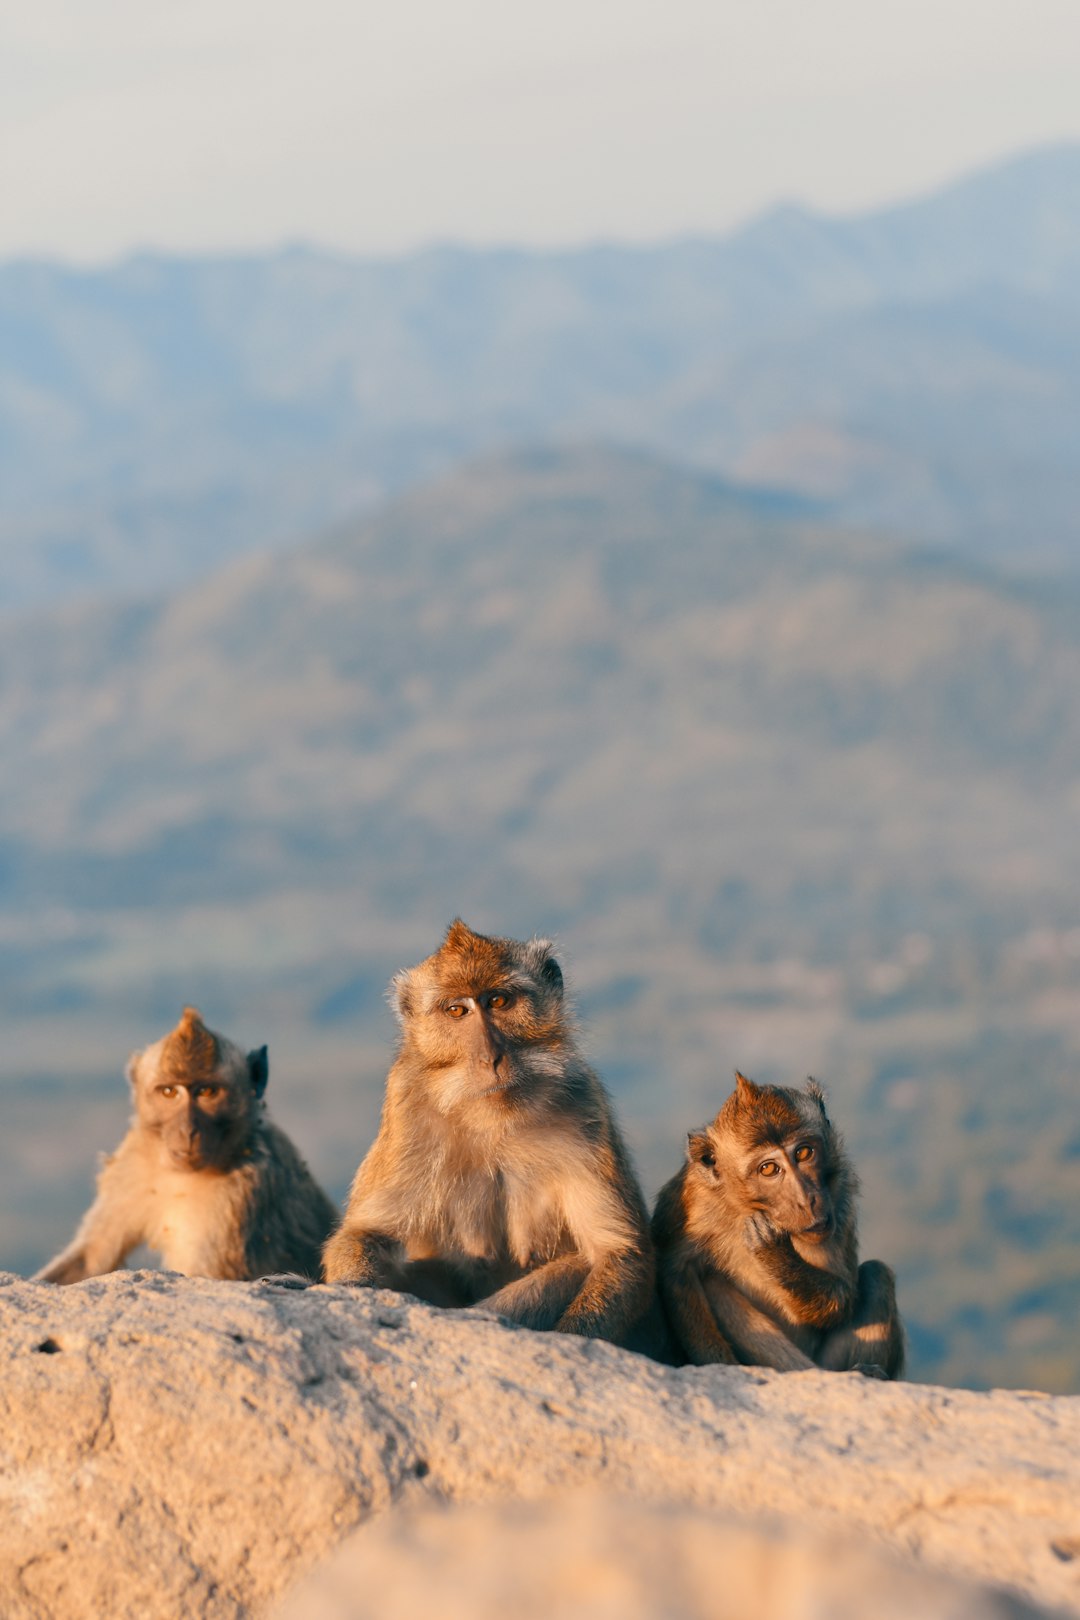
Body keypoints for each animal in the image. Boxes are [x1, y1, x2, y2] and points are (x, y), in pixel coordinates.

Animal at [35, 1004, 335, 1283]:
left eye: (207, 1092)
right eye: (169, 1092)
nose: (188, 1131)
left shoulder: (242, 1190)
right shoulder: (132, 1162)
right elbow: (92, 1257)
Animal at [320, 920, 660, 1347]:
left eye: (498, 1001)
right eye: (456, 1010)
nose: (490, 1057)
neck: (493, 1119)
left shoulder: (584, 1102)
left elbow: (618, 1252)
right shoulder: (406, 1106)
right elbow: (367, 1233)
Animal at [650, 1075, 906, 1380]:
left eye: (804, 1153)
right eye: (769, 1169)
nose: (806, 1199)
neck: (745, 1207)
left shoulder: (839, 1192)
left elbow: (842, 1299)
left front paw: (774, 1252)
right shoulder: (692, 1201)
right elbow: (677, 1270)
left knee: (877, 1275)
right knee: (713, 1284)